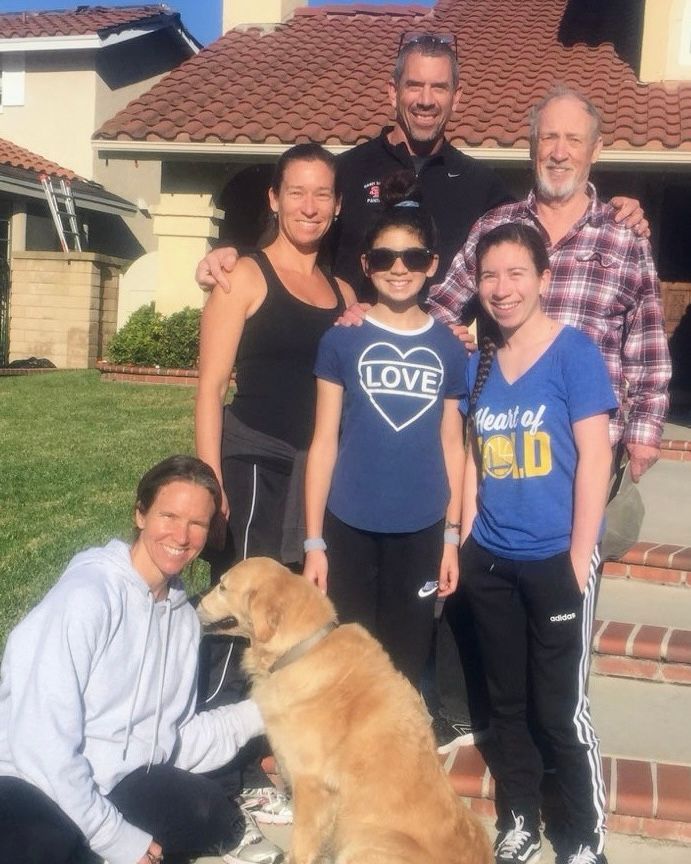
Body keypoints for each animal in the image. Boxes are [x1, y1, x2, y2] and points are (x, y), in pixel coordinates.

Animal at [198, 557, 492, 864]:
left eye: (222, 587)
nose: (197, 597)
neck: (301, 648)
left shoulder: (311, 785)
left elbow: (301, 846)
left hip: (363, 839)